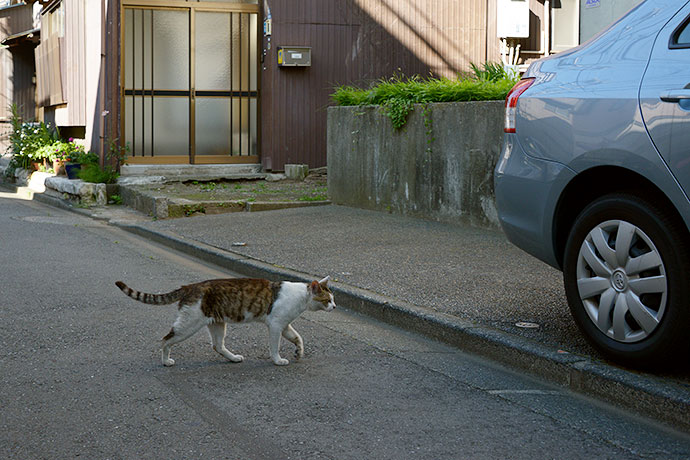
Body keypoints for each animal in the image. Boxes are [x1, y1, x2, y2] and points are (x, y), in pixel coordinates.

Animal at [115, 276, 336, 366]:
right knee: (165, 339)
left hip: (218, 323)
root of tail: (189, 286)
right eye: (327, 300)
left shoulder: (284, 325)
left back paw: (233, 358)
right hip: (188, 325)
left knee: (217, 346)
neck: (302, 297)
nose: (334, 307)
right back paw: (165, 361)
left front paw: (299, 352)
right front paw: (277, 360)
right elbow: (275, 347)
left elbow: (298, 338)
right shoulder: (275, 325)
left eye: (333, 299)